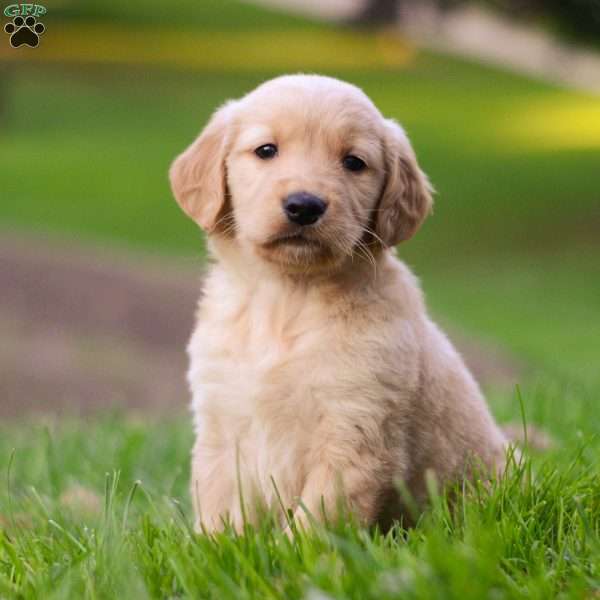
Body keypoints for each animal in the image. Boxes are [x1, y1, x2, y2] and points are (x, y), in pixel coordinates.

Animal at [169, 76, 506, 536]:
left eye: (354, 162)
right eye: (266, 150)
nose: (304, 205)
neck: (286, 298)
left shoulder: (356, 429)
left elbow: (314, 522)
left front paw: (288, 554)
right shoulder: (222, 424)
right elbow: (220, 510)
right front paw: (216, 548)